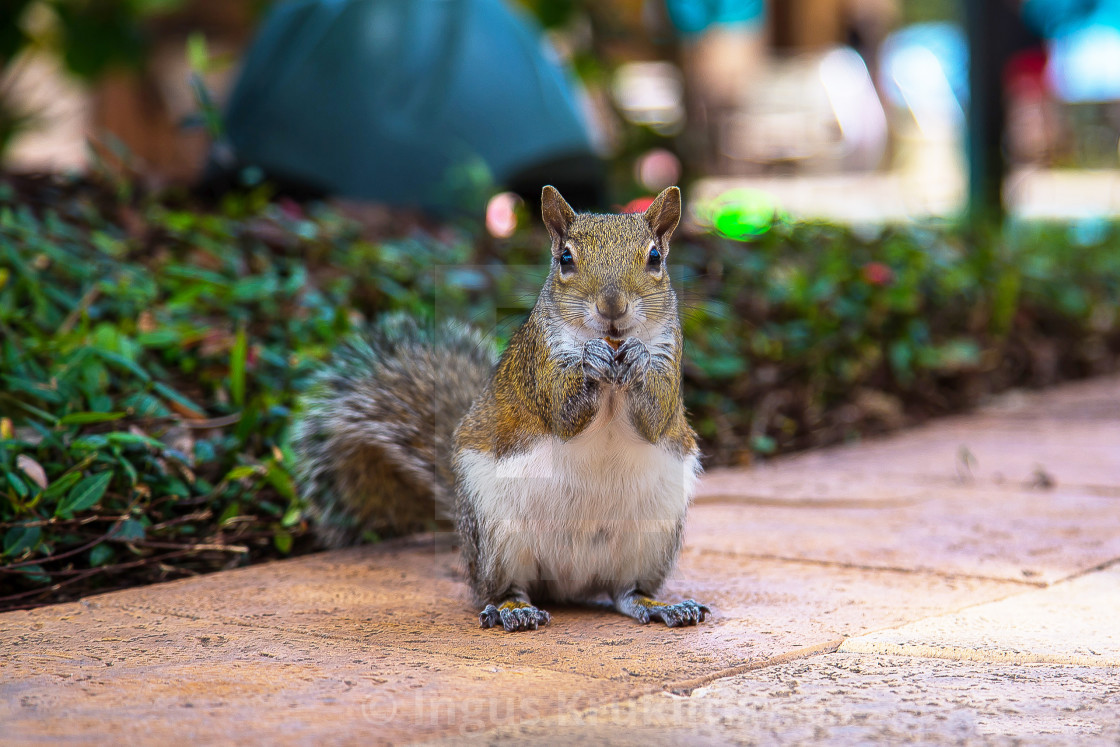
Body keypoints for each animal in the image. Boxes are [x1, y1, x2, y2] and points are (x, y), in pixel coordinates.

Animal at [288, 185, 707, 631]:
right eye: (566, 258)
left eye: (655, 257)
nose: (612, 308)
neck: (614, 357)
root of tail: (571, 583)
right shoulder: (539, 362)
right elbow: (562, 413)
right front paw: (589, 359)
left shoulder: (670, 356)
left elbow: (655, 418)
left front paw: (638, 359)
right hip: (496, 536)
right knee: (500, 588)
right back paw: (514, 609)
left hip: (654, 537)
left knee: (625, 592)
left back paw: (660, 605)